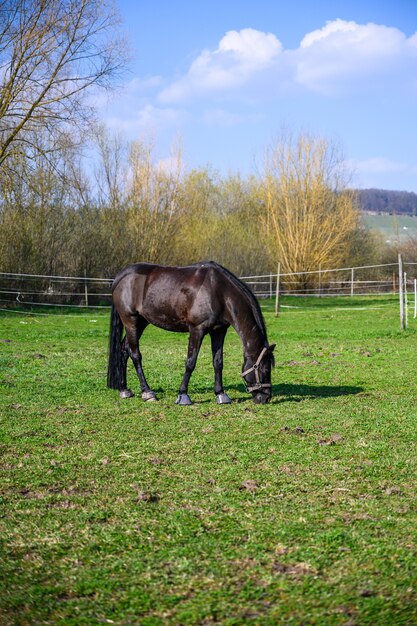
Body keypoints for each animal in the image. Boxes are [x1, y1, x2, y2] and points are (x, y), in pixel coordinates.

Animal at [107, 260, 274, 402]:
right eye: (265, 369)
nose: (266, 398)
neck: (219, 291)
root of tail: (120, 277)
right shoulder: (197, 330)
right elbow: (190, 362)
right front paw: (183, 395)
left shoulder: (218, 331)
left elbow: (218, 362)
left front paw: (220, 394)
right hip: (131, 321)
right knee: (135, 355)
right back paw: (147, 392)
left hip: (141, 322)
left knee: (124, 350)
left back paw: (124, 389)